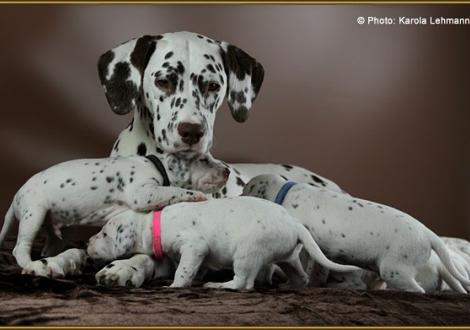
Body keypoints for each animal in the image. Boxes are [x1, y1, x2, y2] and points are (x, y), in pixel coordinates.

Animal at [0, 153, 228, 270]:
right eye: (204, 160)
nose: (227, 170)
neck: (158, 165)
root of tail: (16, 196)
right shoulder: (143, 193)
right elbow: (174, 190)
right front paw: (196, 195)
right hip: (34, 214)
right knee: (20, 247)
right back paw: (29, 264)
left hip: (57, 228)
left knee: (50, 247)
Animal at [242, 174, 470, 292]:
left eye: (245, 190)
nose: (238, 198)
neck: (286, 192)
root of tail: (428, 234)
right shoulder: (322, 250)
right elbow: (319, 269)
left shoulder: (307, 245)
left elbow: (304, 268)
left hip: (395, 269)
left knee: (417, 290)